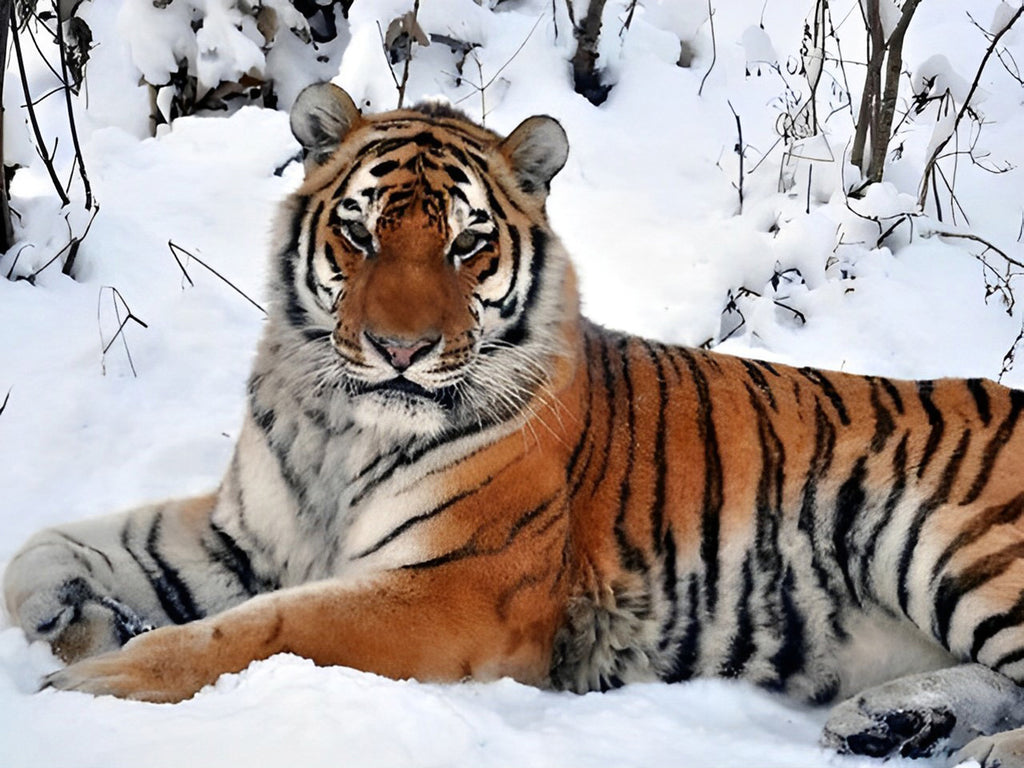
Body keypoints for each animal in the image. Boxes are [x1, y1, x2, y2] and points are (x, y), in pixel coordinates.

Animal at [6, 81, 1024, 765]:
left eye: (468, 242)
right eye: (360, 233)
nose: (400, 348)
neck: (342, 429)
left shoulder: (452, 585)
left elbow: (263, 631)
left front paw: (95, 683)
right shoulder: (247, 535)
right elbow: (51, 549)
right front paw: (70, 623)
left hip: (951, 543)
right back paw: (892, 723)